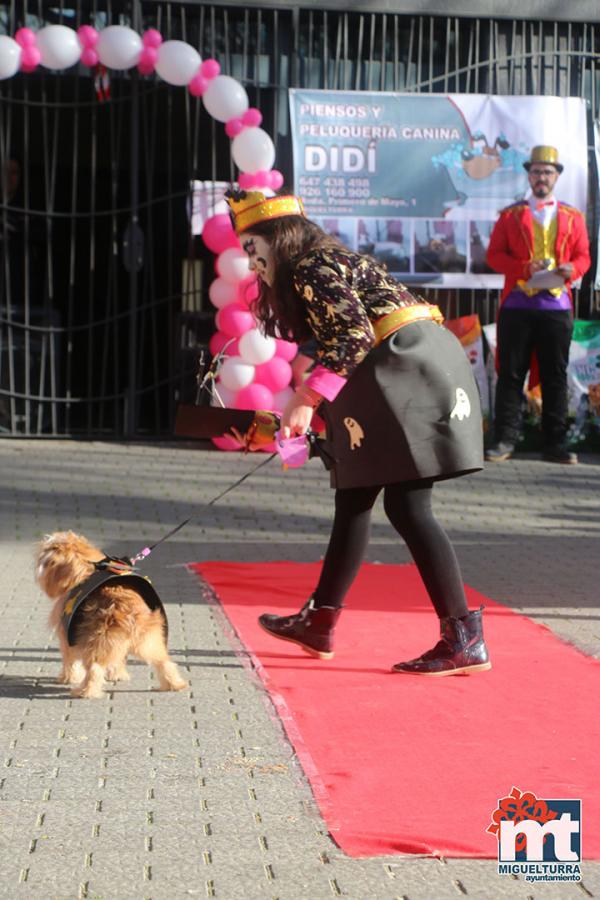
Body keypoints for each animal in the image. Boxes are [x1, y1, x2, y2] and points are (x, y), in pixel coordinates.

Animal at [35, 532, 185, 700]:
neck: (85, 570)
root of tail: (129, 613)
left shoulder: (66, 637)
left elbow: (70, 661)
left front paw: (68, 678)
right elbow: (116, 661)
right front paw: (117, 675)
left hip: (98, 641)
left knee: (94, 669)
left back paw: (85, 692)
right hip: (148, 642)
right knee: (164, 662)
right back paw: (175, 684)